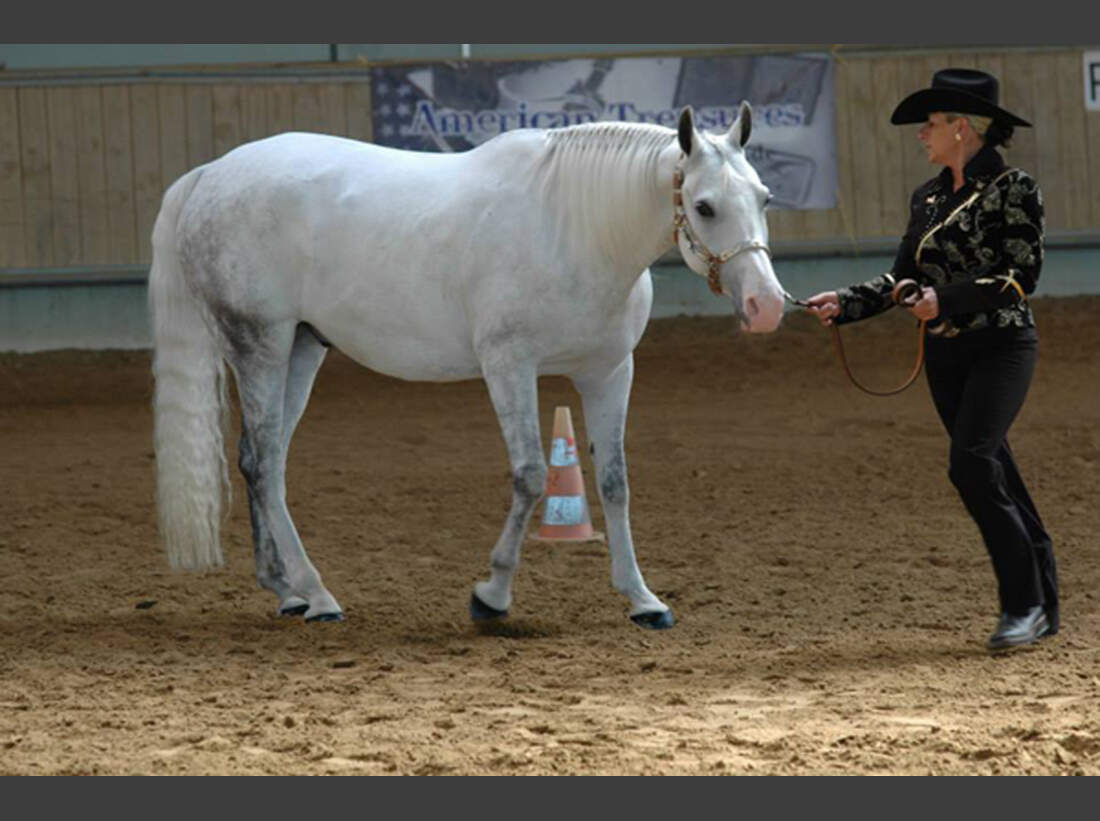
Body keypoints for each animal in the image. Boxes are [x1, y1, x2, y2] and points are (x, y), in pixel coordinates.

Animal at [148, 102, 787, 629]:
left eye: (764, 197)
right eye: (703, 207)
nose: (767, 306)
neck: (576, 229)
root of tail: (210, 174)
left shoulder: (608, 372)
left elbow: (614, 481)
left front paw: (642, 600)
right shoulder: (509, 365)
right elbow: (531, 473)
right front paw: (492, 596)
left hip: (302, 348)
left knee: (265, 460)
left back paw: (286, 590)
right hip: (260, 343)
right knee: (262, 464)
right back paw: (318, 595)